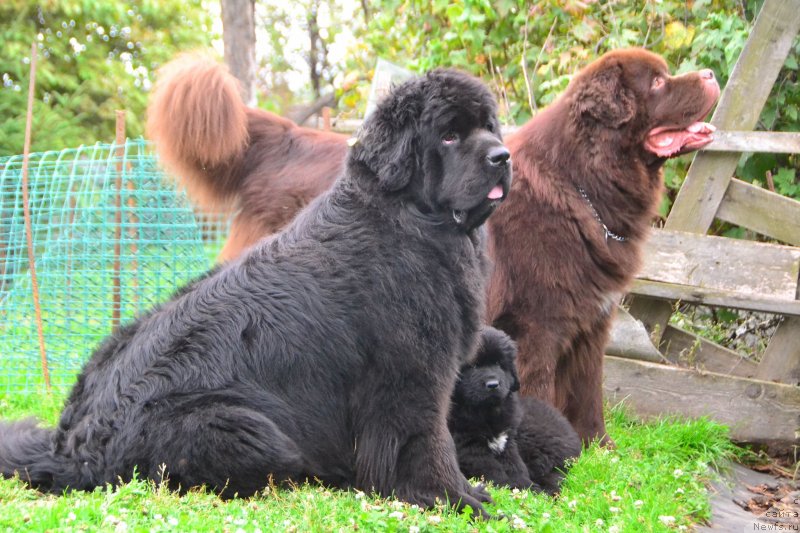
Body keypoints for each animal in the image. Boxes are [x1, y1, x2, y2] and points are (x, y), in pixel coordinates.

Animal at [0, 69, 512, 516]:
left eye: (488, 127)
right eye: (449, 136)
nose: (503, 156)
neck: (409, 219)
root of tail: (69, 448)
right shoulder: (410, 374)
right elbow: (424, 439)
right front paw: (453, 498)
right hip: (248, 429)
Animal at [148, 48, 720, 440]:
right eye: (659, 81)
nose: (712, 75)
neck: (581, 182)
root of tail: (288, 140)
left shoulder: (589, 324)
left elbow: (589, 398)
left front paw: (597, 451)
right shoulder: (539, 325)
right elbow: (541, 391)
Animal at [450, 326, 580, 492]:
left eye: (500, 364)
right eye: (473, 366)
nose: (493, 384)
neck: (487, 411)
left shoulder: (508, 442)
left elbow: (515, 466)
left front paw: (525, 486)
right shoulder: (469, 447)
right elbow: (492, 469)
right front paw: (511, 486)